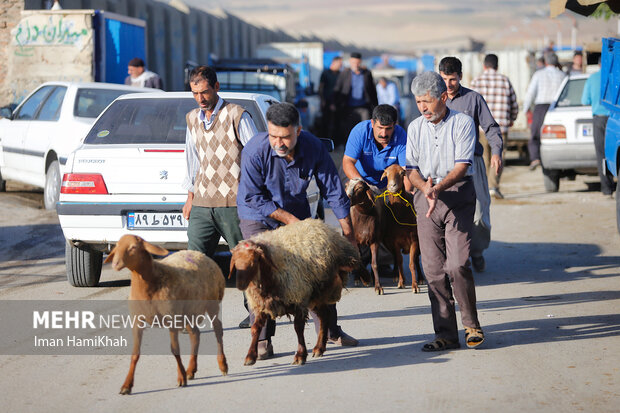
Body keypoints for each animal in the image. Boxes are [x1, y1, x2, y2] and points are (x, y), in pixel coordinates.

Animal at [105, 235, 229, 392]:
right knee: (195, 335)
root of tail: (201, 254)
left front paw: (181, 378)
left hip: (212, 303)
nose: (115, 264)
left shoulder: (171, 318)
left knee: (217, 329)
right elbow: (135, 354)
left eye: (133, 247)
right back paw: (191, 370)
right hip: (188, 312)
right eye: (116, 246)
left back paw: (222, 365)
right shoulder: (137, 321)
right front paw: (127, 385)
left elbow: (175, 349)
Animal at [376, 163, 424, 292]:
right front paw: (401, 282)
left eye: (402, 173)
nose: (392, 186)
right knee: (394, 257)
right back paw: (395, 275)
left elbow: (411, 263)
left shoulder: (414, 240)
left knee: (416, 259)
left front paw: (415, 286)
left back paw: (421, 278)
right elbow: (399, 260)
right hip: (387, 242)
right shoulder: (395, 242)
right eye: (386, 173)